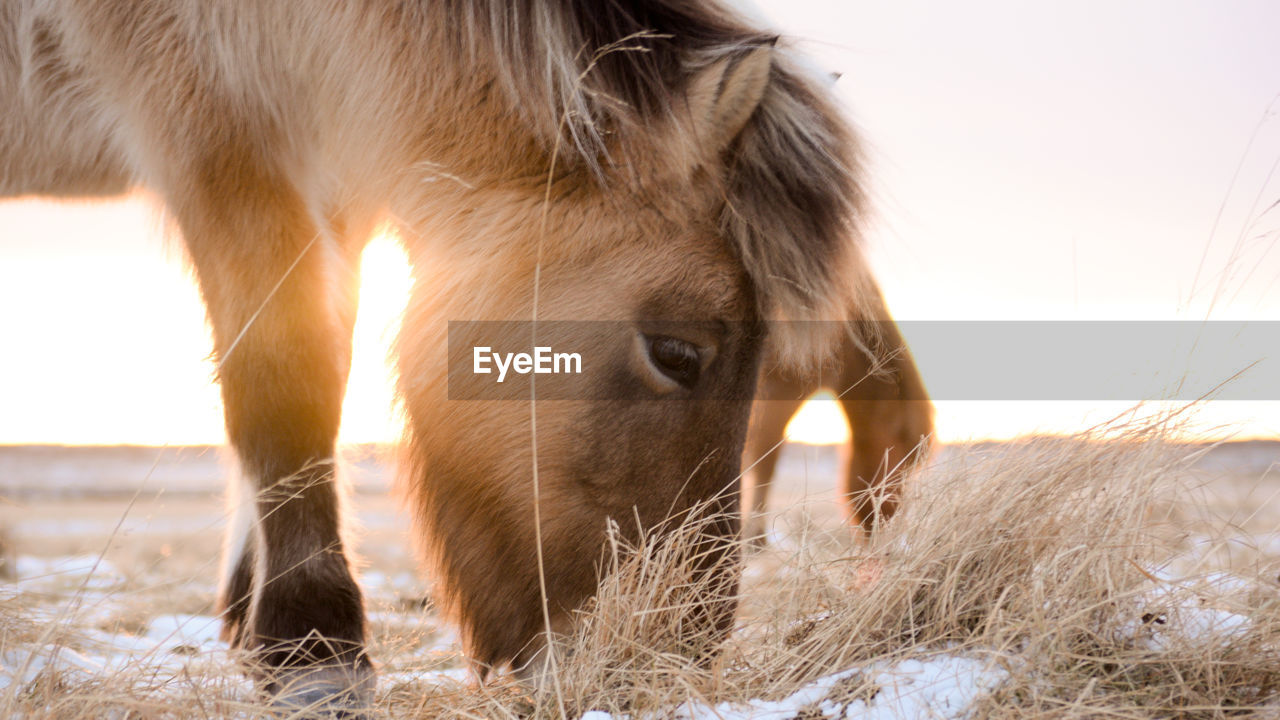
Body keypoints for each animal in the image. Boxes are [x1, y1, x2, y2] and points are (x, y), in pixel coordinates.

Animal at [0, 0, 880, 707]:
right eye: (677, 353)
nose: (657, 668)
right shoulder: (217, 140)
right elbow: (287, 378)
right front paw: (313, 644)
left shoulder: (332, 176)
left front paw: (255, 627)